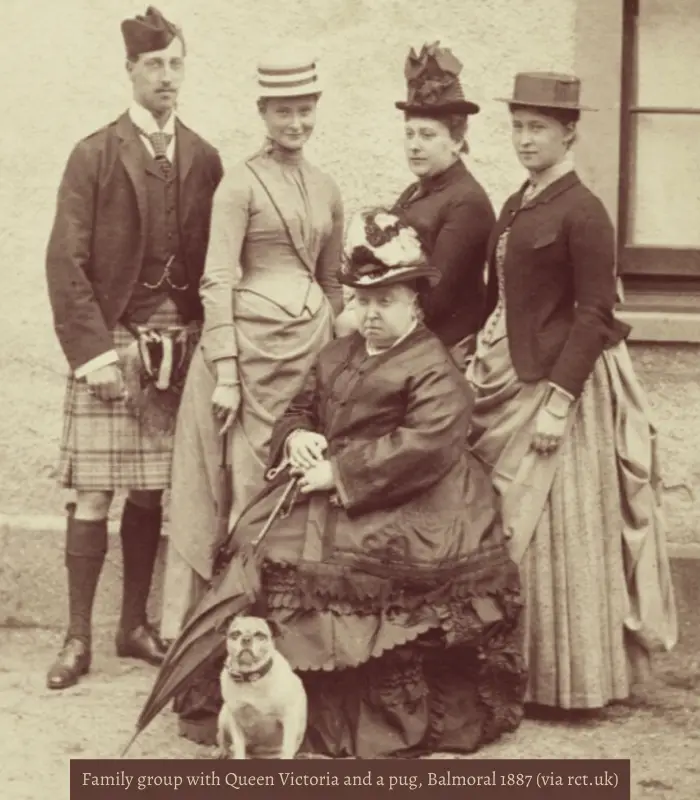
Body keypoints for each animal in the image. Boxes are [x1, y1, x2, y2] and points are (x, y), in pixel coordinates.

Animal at [217, 616, 308, 760]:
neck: (251, 677)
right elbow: (239, 746)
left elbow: (287, 747)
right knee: (222, 739)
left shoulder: (289, 717)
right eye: (235, 634)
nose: (246, 639)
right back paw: (222, 752)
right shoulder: (235, 720)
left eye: (260, 635)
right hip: (224, 719)